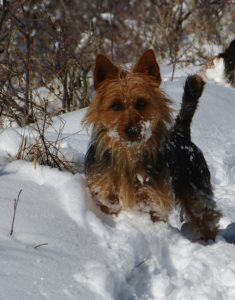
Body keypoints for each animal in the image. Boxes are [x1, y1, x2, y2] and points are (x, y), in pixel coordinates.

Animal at [83, 49, 221, 241]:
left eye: (141, 103)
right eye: (116, 106)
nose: (132, 130)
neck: (128, 153)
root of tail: (181, 133)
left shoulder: (153, 198)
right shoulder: (104, 191)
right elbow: (107, 206)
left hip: (196, 187)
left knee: (204, 214)